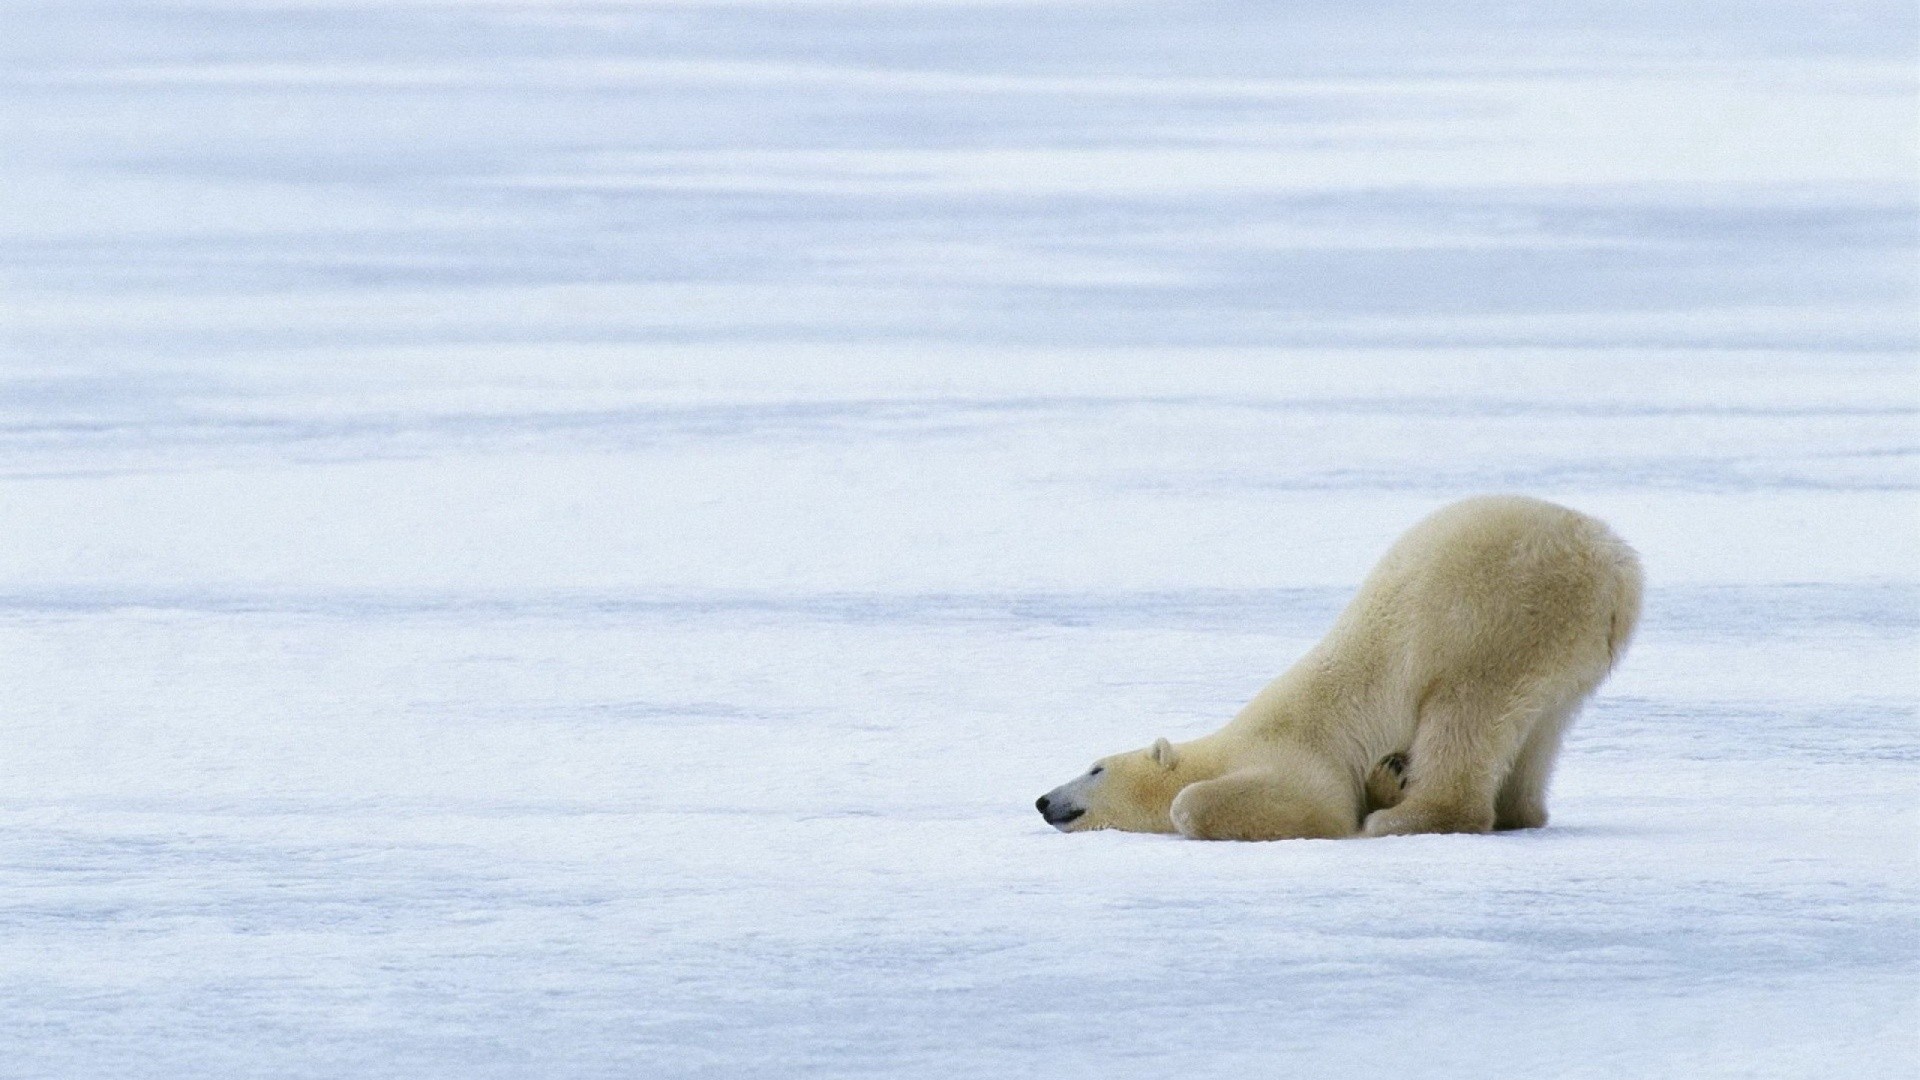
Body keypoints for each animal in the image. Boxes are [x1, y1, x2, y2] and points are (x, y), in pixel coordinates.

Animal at [1035, 495, 1642, 840]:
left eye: (1095, 768)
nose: (1042, 800)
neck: (1227, 745)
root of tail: (1616, 566)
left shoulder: (1298, 756)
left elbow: (1293, 806)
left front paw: (1370, 805)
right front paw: (1387, 777)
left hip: (1498, 616)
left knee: (1464, 713)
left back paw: (1406, 819)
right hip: (1568, 650)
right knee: (1540, 729)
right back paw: (1516, 809)